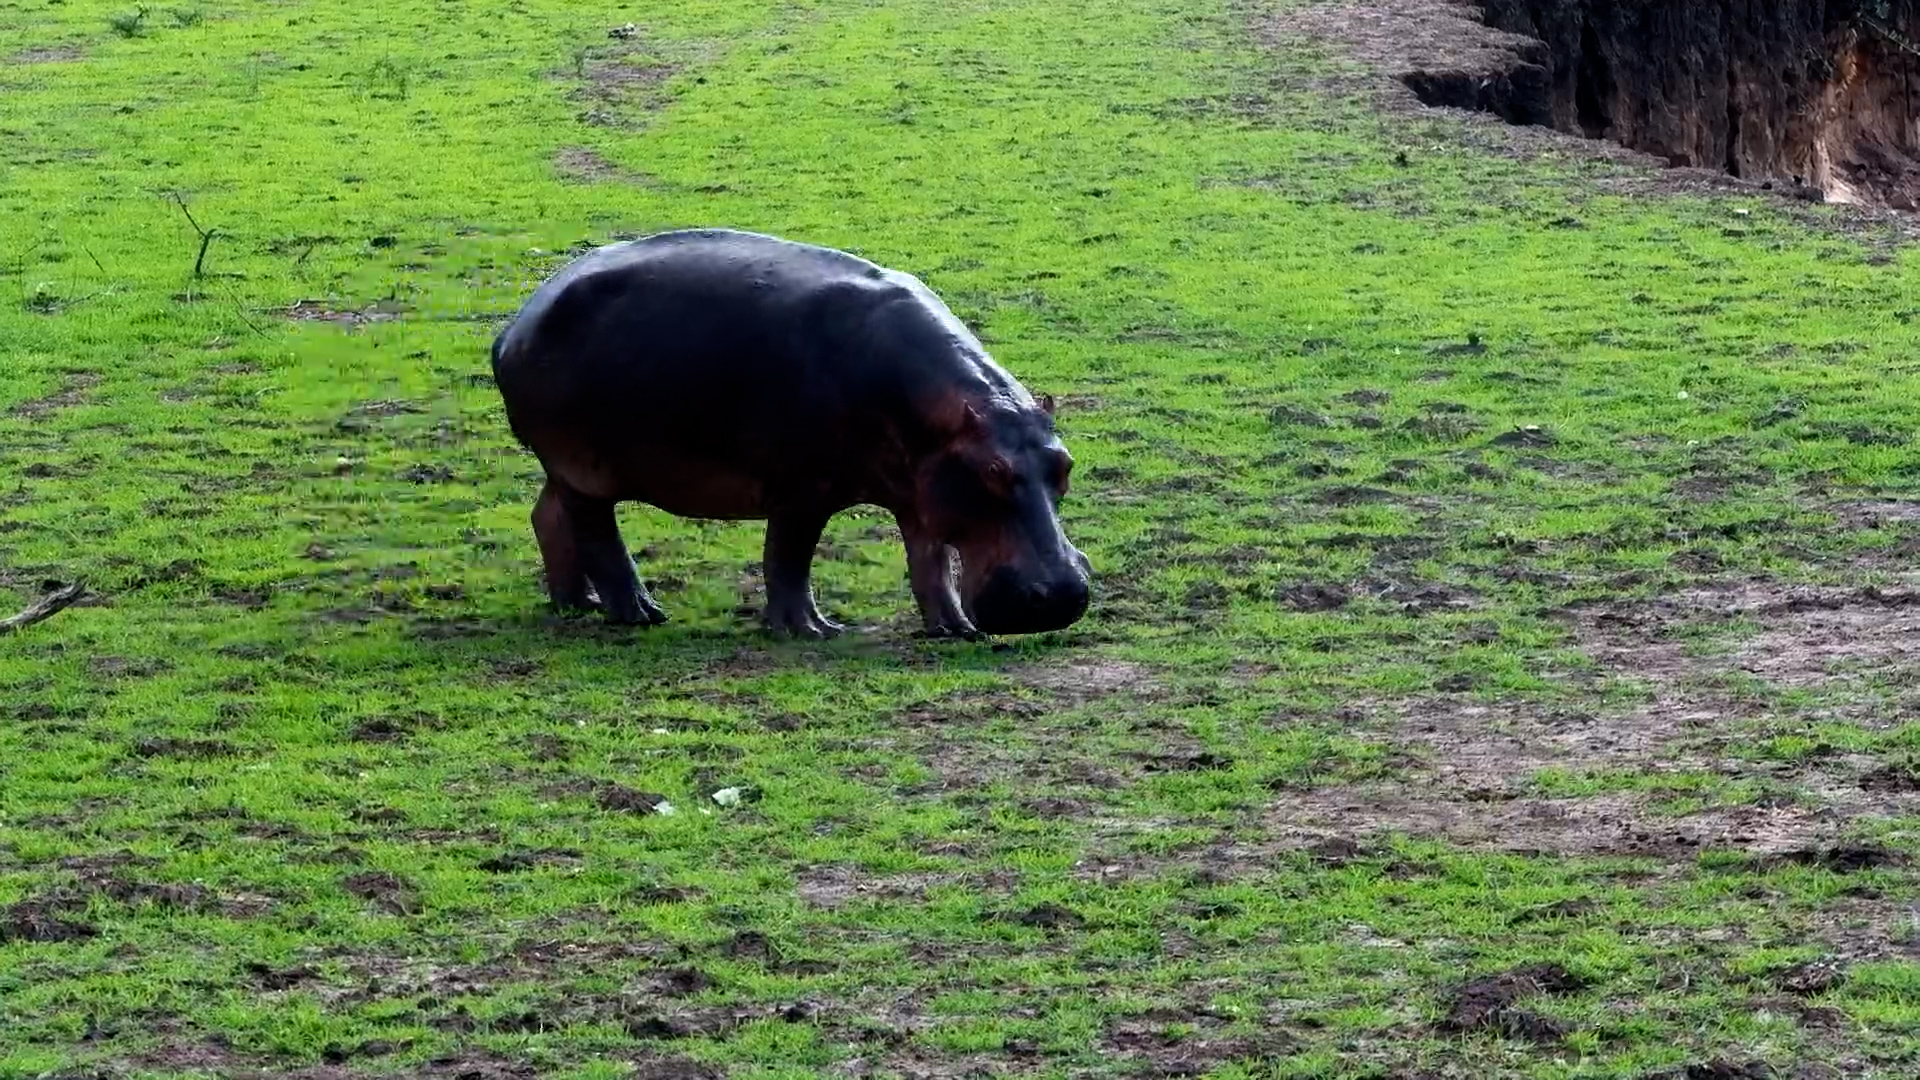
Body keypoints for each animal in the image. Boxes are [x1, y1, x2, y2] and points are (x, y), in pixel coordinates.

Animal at [489, 228, 1091, 639]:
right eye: (992, 471)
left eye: (1064, 467)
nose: (1064, 594)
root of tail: (515, 324)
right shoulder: (803, 489)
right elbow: (789, 557)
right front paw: (812, 630)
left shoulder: (921, 493)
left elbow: (931, 562)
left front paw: (953, 628)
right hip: (585, 467)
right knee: (596, 533)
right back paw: (639, 613)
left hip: (567, 467)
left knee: (548, 517)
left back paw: (576, 602)